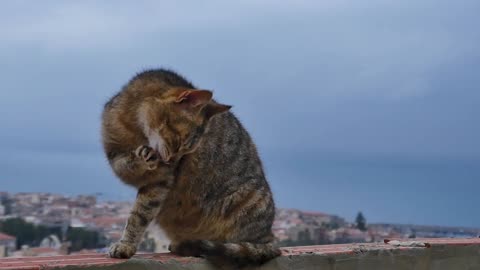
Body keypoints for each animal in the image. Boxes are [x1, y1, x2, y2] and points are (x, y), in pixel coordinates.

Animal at [101, 68, 282, 266]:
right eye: (177, 143)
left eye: (186, 151)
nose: (171, 161)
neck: (134, 125)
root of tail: (271, 238)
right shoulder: (115, 155)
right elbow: (127, 165)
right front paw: (142, 156)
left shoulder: (160, 180)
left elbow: (139, 215)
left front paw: (126, 245)